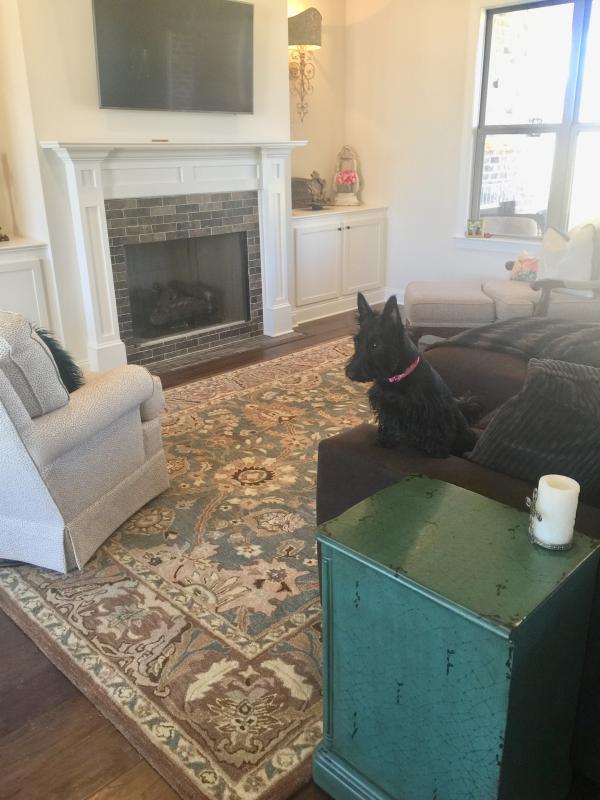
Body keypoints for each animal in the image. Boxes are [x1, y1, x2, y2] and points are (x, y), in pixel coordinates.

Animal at [345, 293, 479, 457]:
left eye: (375, 345)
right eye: (356, 341)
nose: (349, 373)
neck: (396, 378)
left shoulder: (434, 411)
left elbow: (437, 434)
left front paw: (435, 453)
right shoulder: (387, 405)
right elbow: (388, 423)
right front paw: (385, 441)